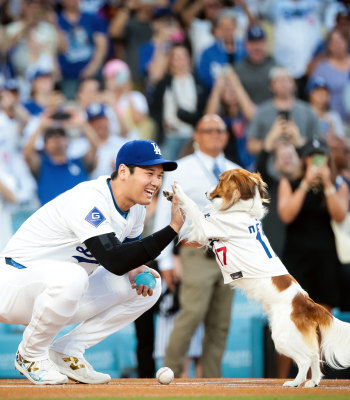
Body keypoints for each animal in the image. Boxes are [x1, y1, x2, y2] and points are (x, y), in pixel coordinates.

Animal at [165, 168, 350, 388]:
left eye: (220, 181)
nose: (205, 192)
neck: (241, 211)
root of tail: (307, 302)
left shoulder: (206, 225)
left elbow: (193, 207)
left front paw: (178, 191)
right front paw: (170, 195)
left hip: (282, 336)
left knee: (305, 359)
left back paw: (294, 383)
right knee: (314, 355)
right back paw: (312, 383)